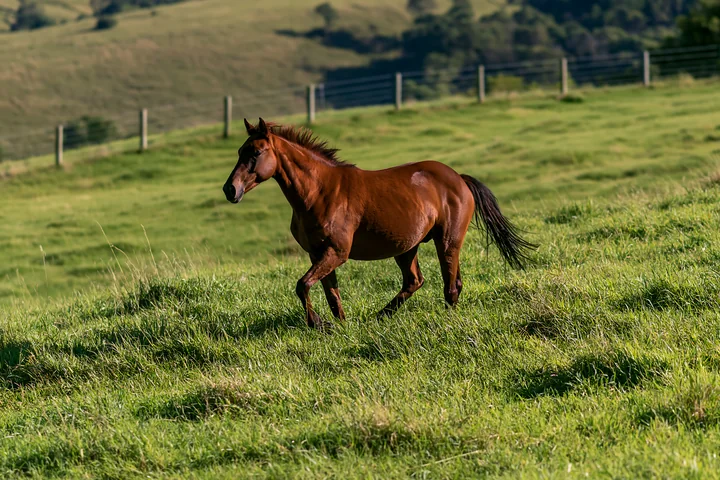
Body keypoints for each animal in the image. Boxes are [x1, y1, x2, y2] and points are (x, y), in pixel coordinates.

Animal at [223, 118, 536, 330]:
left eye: (256, 153)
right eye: (239, 151)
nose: (230, 190)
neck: (319, 191)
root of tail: (459, 178)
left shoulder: (337, 252)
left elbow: (302, 285)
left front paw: (317, 323)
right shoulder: (318, 254)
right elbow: (330, 294)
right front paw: (340, 326)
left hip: (447, 241)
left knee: (450, 285)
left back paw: (444, 320)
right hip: (406, 247)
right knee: (416, 281)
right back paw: (380, 316)